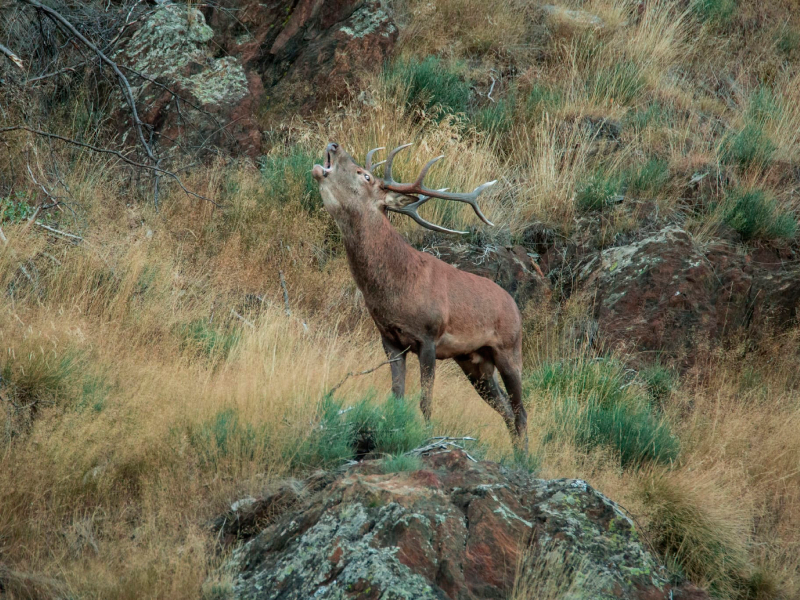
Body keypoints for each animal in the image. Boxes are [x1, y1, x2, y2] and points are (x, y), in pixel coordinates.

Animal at [312, 142, 527, 450]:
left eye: (365, 175)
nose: (334, 144)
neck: (397, 289)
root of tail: (515, 305)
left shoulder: (429, 336)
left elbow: (425, 401)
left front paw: (426, 438)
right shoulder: (390, 340)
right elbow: (397, 396)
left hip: (510, 348)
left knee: (521, 411)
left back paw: (525, 457)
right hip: (474, 362)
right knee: (507, 411)